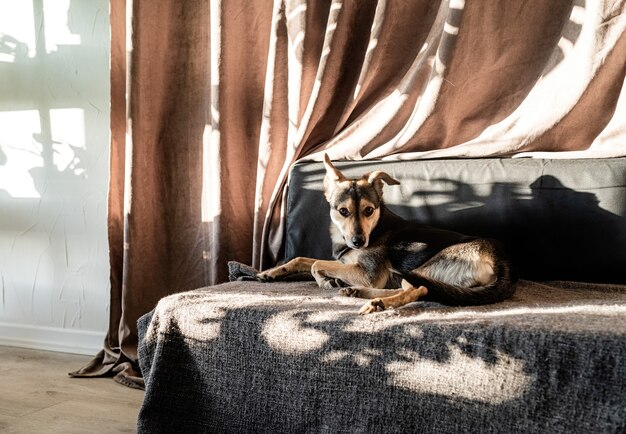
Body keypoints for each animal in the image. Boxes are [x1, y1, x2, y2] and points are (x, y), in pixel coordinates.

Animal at [256, 154, 516, 314]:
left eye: (369, 210)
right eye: (343, 211)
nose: (359, 242)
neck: (375, 228)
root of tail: (503, 261)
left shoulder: (369, 273)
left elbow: (315, 264)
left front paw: (325, 281)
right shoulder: (349, 263)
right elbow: (302, 259)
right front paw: (269, 273)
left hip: (425, 266)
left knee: (420, 289)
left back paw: (377, 302)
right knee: (408, 287)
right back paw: (356, 291)